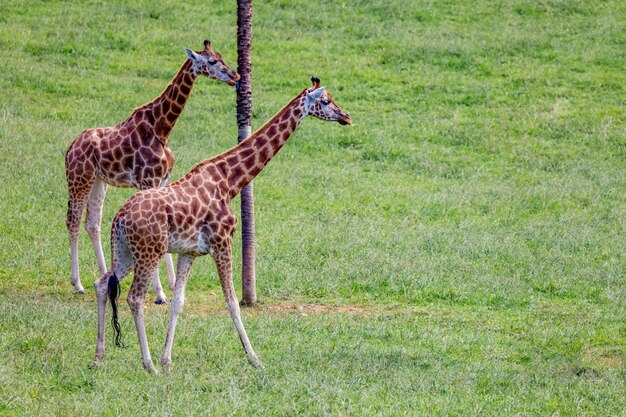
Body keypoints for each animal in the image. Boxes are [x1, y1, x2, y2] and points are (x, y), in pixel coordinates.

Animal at [64, 39, 238, 302]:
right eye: (211, 61)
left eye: (221, 55)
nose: (235, 76)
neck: (162, 128)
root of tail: (70, 148)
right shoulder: (148, 180)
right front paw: (160, 294)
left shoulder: (164, 180)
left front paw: (173, 284)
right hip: (79, 178)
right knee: (73, 222)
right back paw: (78, 284)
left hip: (99, 181)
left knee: (92, 223)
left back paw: (105, 274)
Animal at [91, 78, 352, 370]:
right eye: (326, 101)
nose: (346, 117)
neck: (229, 181)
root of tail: (119, 218)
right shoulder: (222, 241)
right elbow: (232, 302)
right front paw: (254, 358)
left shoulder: (189, 252)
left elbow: (178, 302)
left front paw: (167, 360)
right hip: (149, 251)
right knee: (134, 298)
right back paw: (148, 365)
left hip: (125, 251)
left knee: (102, 283)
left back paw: (99, 357)